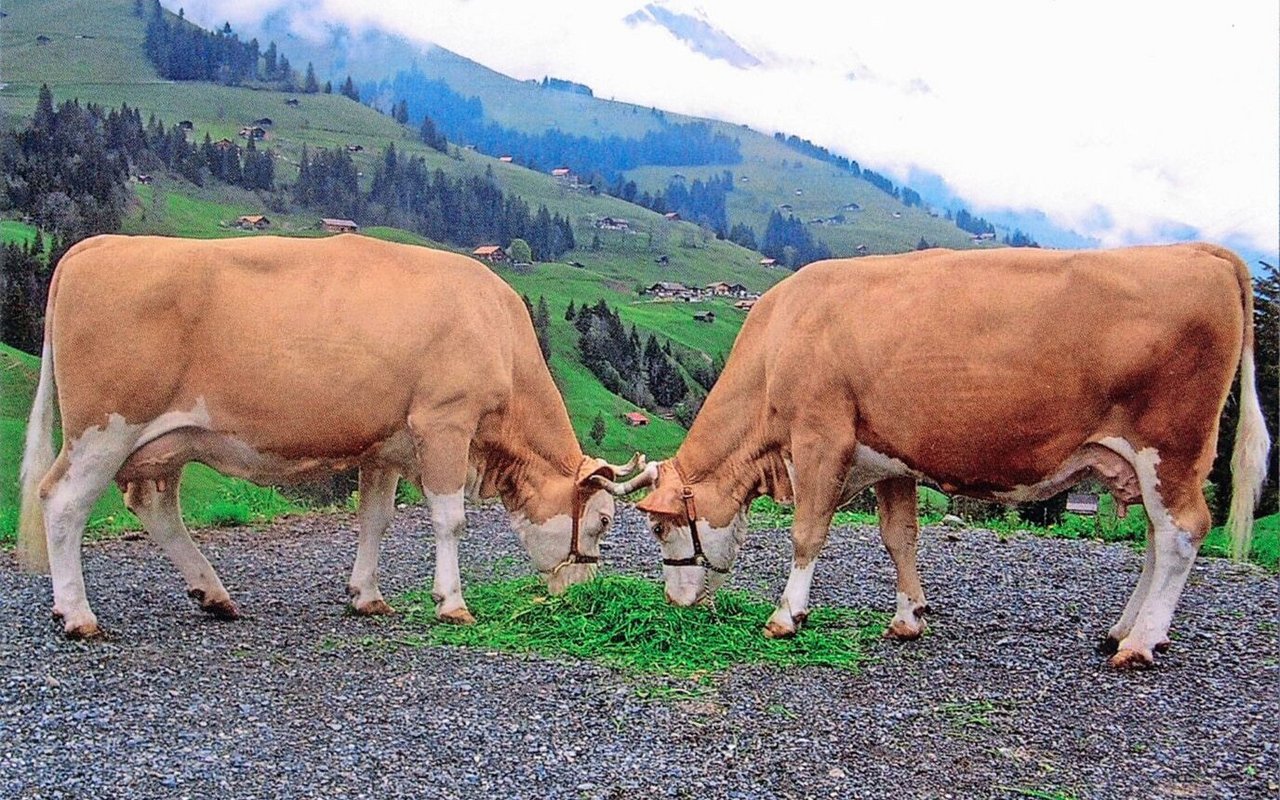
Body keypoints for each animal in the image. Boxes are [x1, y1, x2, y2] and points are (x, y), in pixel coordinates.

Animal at [18, 234, 640, 640]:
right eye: (603, 520)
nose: (586, 591)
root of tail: (97, 244)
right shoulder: (444, 422)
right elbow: (449, 519)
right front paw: (452, 603)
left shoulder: (384, 446)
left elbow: (375, 520)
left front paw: (367, 596)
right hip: (104, 428)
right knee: (63, 501)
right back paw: (78, 616)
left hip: (162, 443)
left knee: (154, 505)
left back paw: (213, 594)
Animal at [599, 244, 1269, 665]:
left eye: (658, 529)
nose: (675, 602)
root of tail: (1201, 250)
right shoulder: (890, 457)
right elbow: (899, 537)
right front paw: (908, 617)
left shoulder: (821, 439)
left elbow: (807, 534)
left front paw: (787, 616)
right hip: (1149, 462)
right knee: (1158, 539)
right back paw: (1121, 630)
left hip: (1171, 449)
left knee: (1182, 533)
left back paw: (1140, 643)